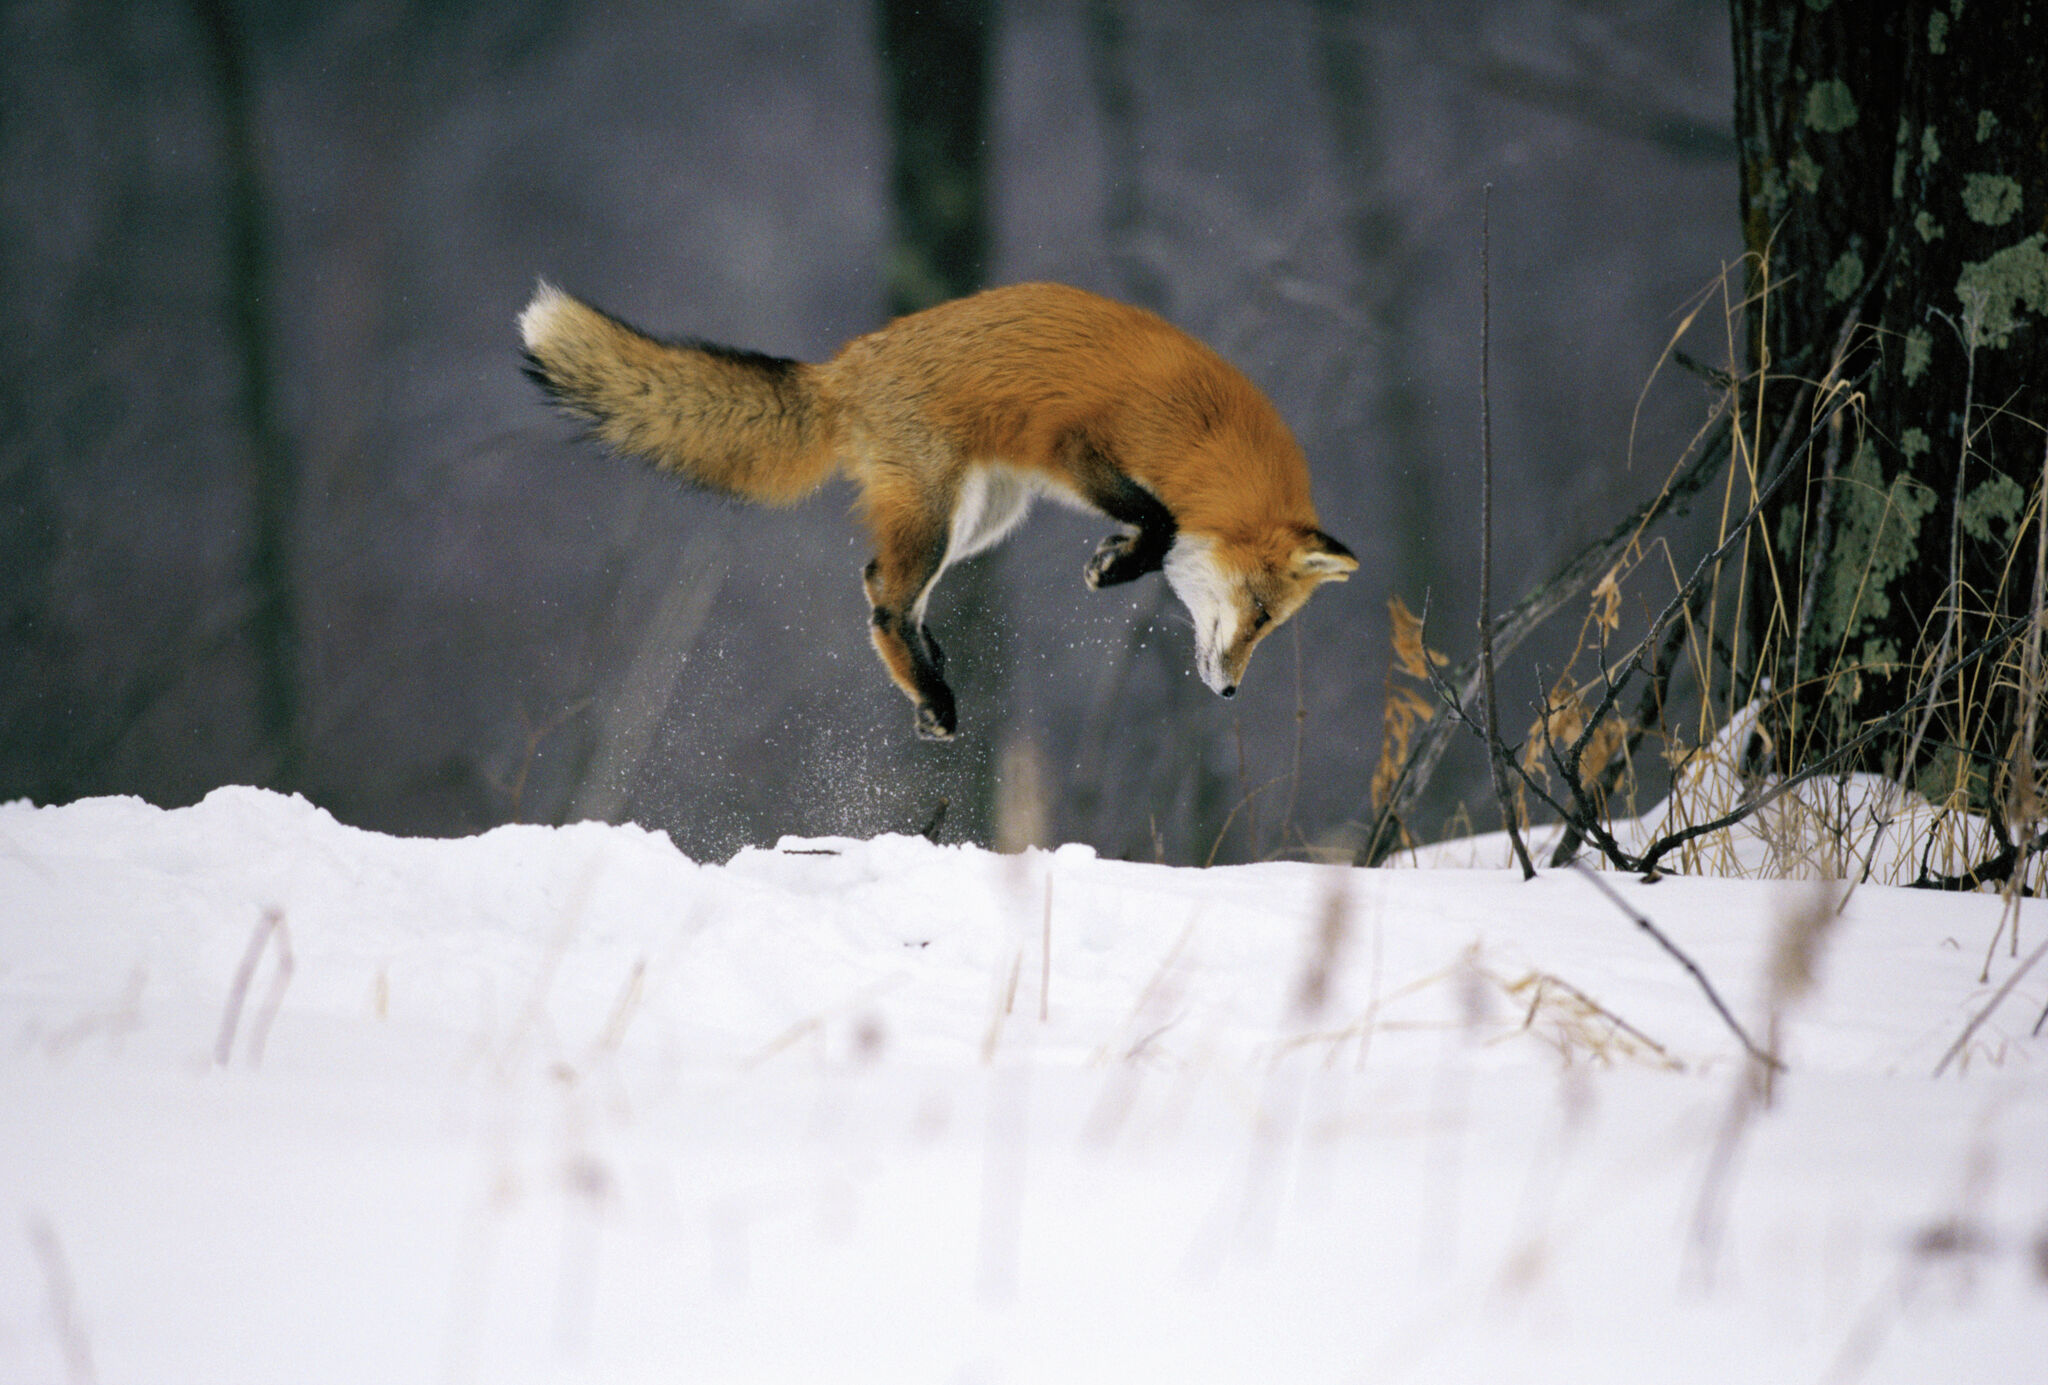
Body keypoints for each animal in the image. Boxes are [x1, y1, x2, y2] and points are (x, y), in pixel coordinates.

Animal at [519, 280, 1356, 740]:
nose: (1230, 692)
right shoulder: (1076, 444)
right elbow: (1162, 521)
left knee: (875, 582)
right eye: (1258, 613)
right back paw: (933, 691)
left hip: (983, 517)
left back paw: (929, 680)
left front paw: (1115, 557)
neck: (1207, 443)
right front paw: (1118, 564)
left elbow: (1157, 524)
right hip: (941, 514)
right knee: (887, 601)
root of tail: (844, 367)